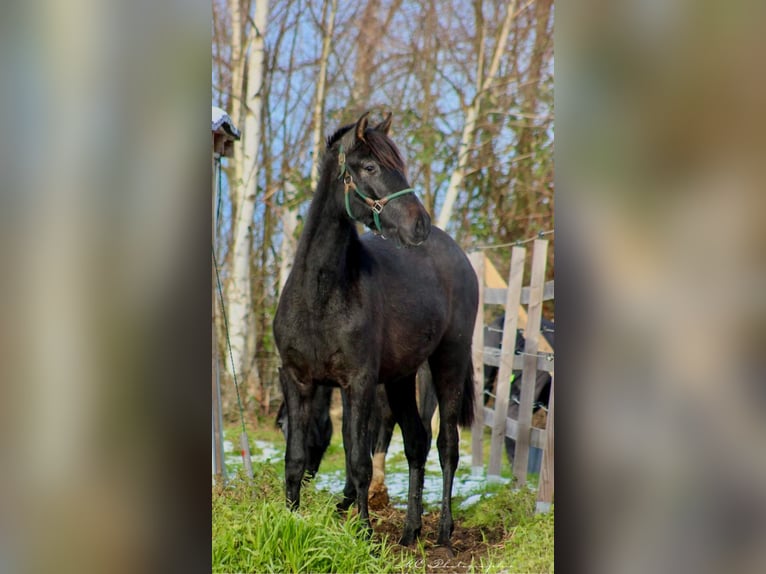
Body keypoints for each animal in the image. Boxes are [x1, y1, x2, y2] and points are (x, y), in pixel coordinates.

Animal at [274, 111, 480, 548]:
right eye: (369, 167)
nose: (419, 224)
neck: (320, 296)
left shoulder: (360, 382)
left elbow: (359, 460)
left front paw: (364, 535)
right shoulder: (298, 380)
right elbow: (295, 459)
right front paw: (291, 521)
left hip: (448, 362)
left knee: (447, 445)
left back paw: (443, 532)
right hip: (401, 378)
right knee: (417, 443)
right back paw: (409, 532)